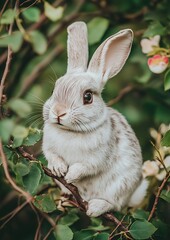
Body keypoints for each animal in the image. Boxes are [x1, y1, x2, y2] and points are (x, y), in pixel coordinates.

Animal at [42, 21, 147, 217]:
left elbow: (84, 167)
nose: (58, 112)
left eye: (88, 97)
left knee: (114, 204)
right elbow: (53, 156)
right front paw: (59, 169)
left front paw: (70, 175)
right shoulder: (49, 149)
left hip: (120, 188)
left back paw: (95, 207)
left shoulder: (96, 159)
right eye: (54, 89)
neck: (71, 131)